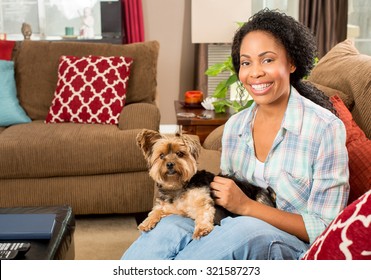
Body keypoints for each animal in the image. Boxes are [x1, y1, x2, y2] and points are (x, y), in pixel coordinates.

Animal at [137, 129, 276, 238]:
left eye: (180, 154)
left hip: (260, 199)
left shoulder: (202, 199)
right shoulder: (170, 207)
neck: (177, 185)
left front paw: (202, 229)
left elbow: (203, 212)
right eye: (161, 156)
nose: (170, 164)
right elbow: (156, 210)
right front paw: (146, 222)